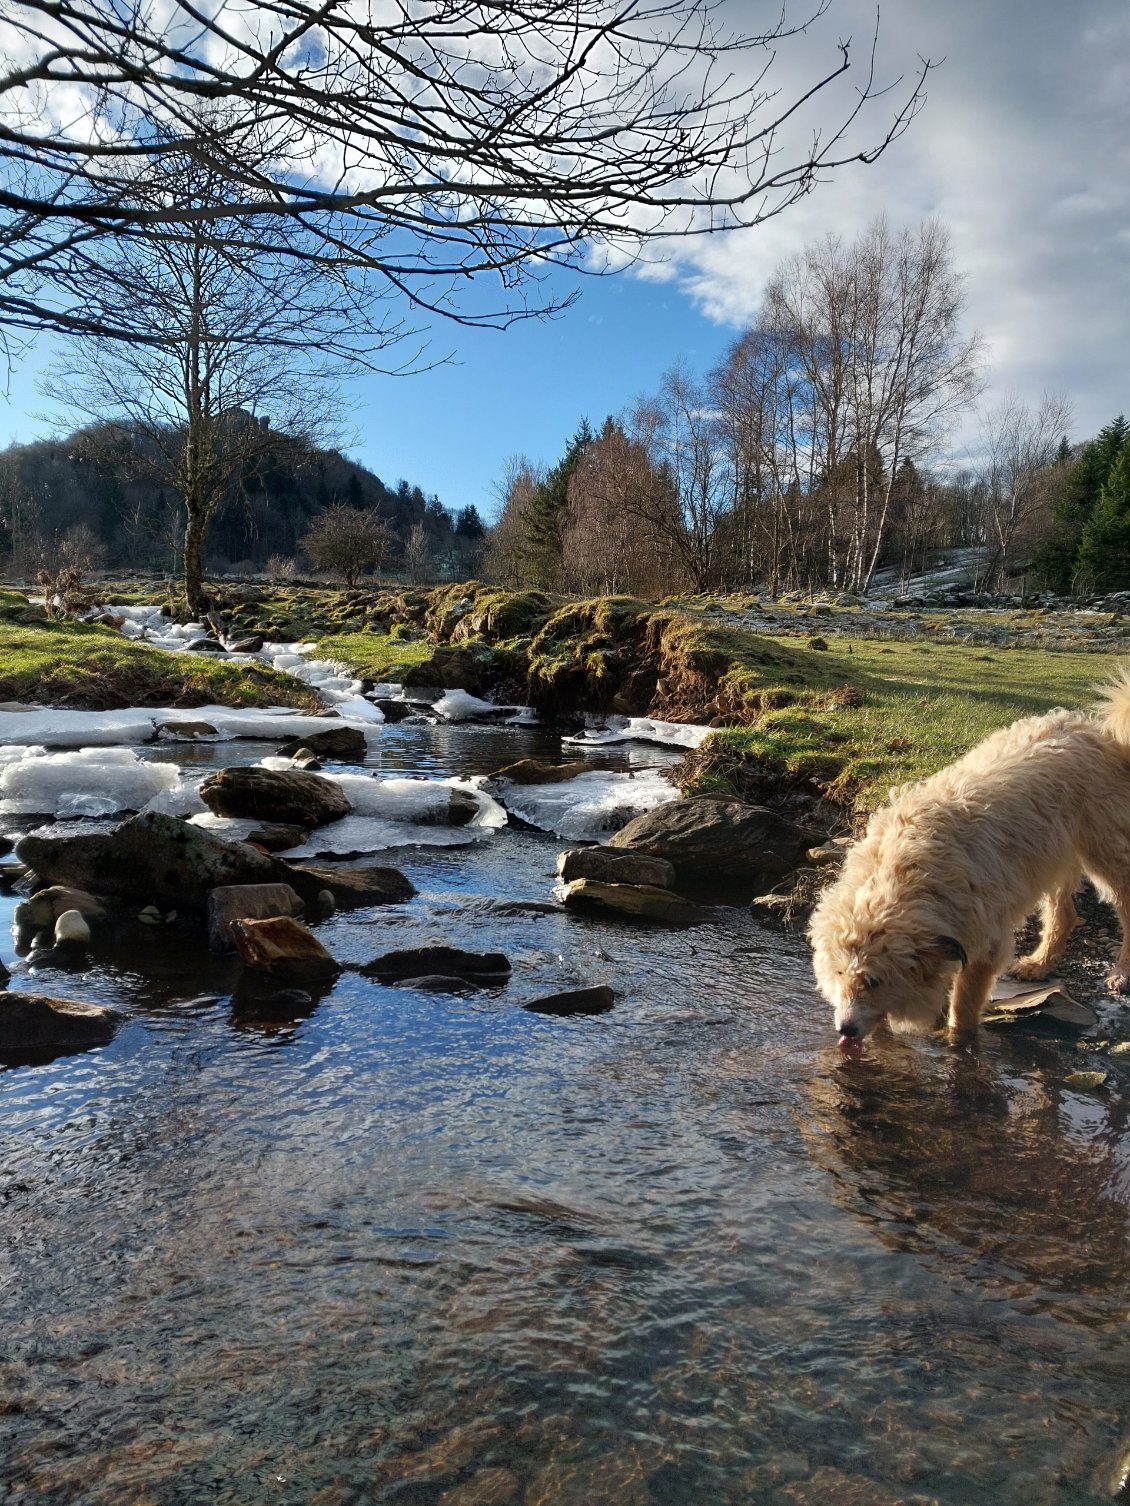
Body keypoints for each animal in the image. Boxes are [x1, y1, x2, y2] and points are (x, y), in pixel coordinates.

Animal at [813, 677, 1130, 1054]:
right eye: (839, 973)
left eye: (874, 980)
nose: (844, 1028)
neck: (904, 874)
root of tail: (1097, 730)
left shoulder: (985, 943)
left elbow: (964, 1004)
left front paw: (958, 1044)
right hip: (1051, 855)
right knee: (1063, 913)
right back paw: (1040, 964)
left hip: (1104, 851)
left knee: (1125, 904)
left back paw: (1122, 972)